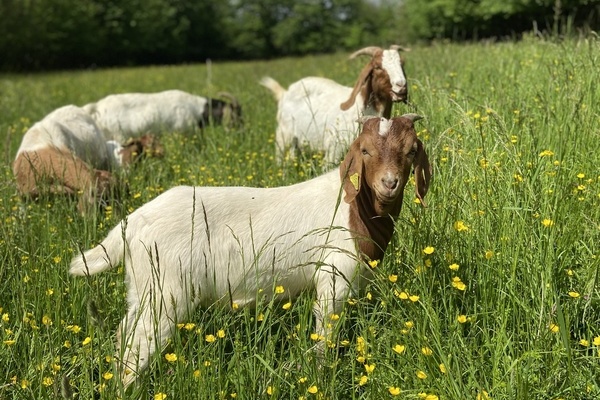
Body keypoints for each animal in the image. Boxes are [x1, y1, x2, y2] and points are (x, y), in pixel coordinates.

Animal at [69, 113, 432, 388]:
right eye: (366, 150)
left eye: (411, 150)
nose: (389, 183)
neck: (351, 206)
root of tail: (131, 224)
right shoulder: (334, 278)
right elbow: (325, 333)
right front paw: (321, 377)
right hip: (166, 291)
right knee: (139, 341)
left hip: (144, 287)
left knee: (125, 332)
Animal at [83, 90, 243, 143]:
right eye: (236, 114)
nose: (241, 131)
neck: (195, 108)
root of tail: (96, 107)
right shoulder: (181, 131)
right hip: (118, 135)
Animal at [258, 46, 408, 165]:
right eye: (377, 67)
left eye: (402, 64)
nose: (401, 85)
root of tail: (284, 93)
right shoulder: (335, 147)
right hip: (284, 134)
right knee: (280, 156)